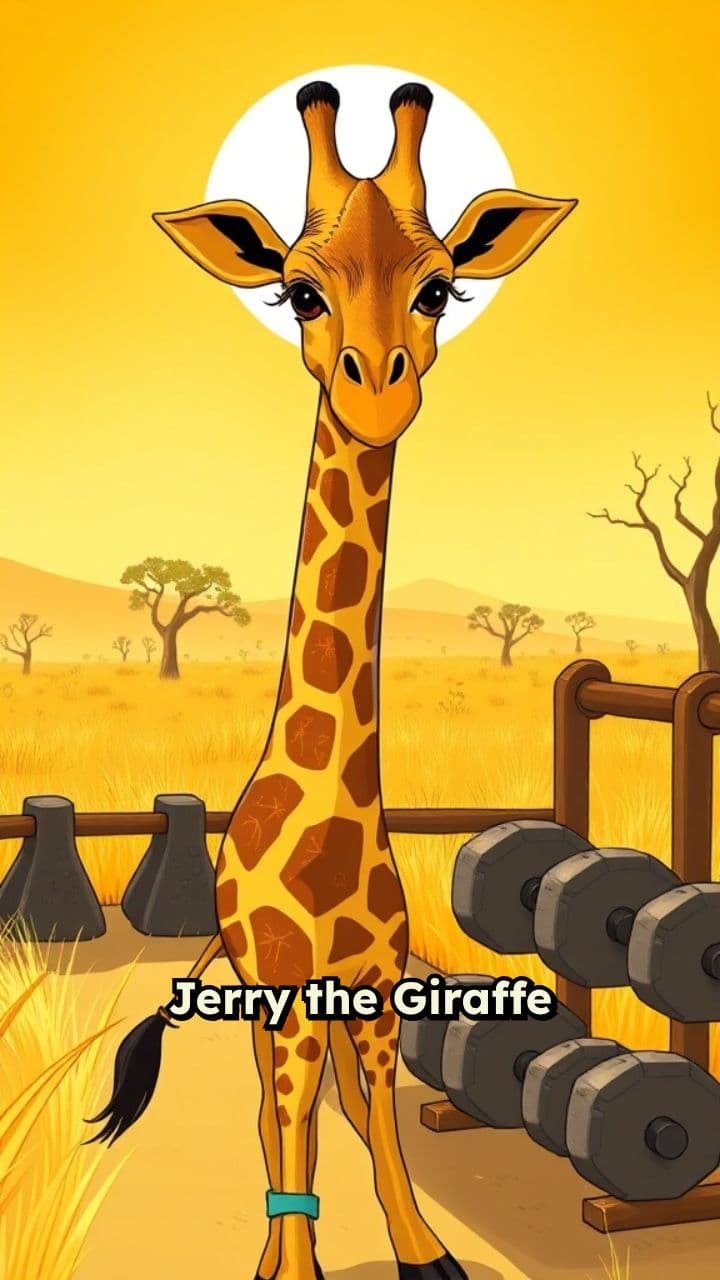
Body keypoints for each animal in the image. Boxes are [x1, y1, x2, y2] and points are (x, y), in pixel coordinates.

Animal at [89, 81, 575, 1280]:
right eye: (297, 291)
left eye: (441, 286)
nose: (379, 393)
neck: (336, 817)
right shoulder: (291, 984)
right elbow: (295, 1114)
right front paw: (291, 1264)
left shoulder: (378, 980)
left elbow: (375, 1107)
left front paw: (425, 1251)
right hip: (261, 983)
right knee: (276, 1108)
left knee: (324, 1105)